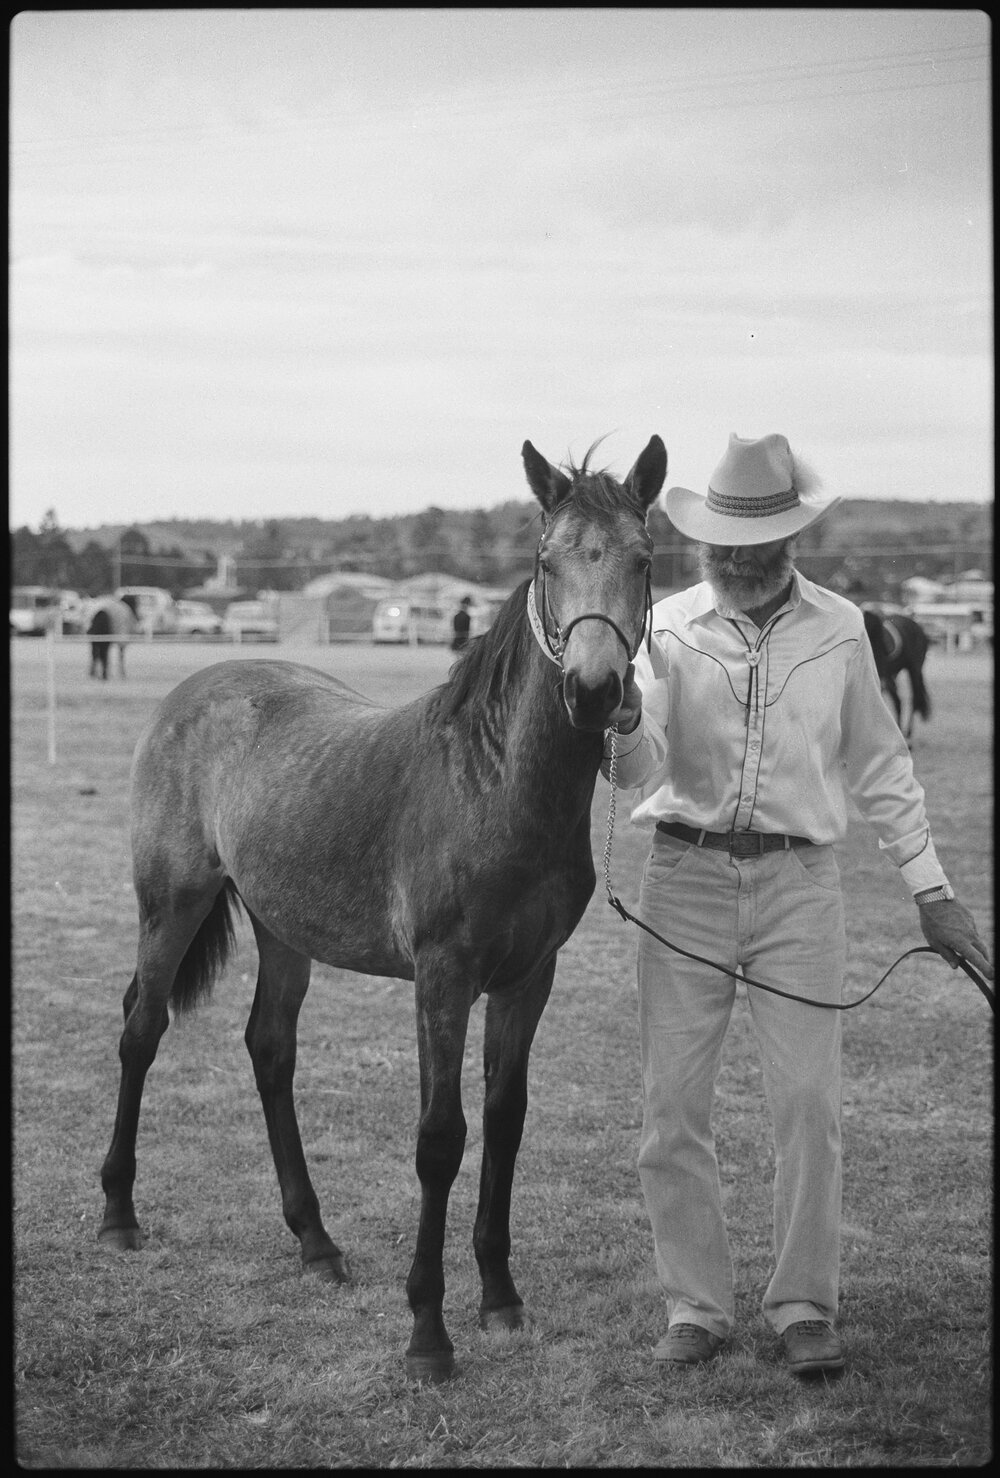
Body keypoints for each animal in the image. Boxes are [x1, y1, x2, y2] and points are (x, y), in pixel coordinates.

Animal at [97, 435, 668, 1383]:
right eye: (547, 561)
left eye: (645, 559)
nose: (594, 691)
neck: (494, 785)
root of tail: (198, 686)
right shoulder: (441, 979)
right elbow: (441, 1137)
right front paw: (428, 1333)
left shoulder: (528, 979)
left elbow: (505, 1121)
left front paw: (500, 1297)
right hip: (170, 903)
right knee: (142, 1029)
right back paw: (118, 1214)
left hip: (283, 929)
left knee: (269, 1050)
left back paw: (317, 1243)